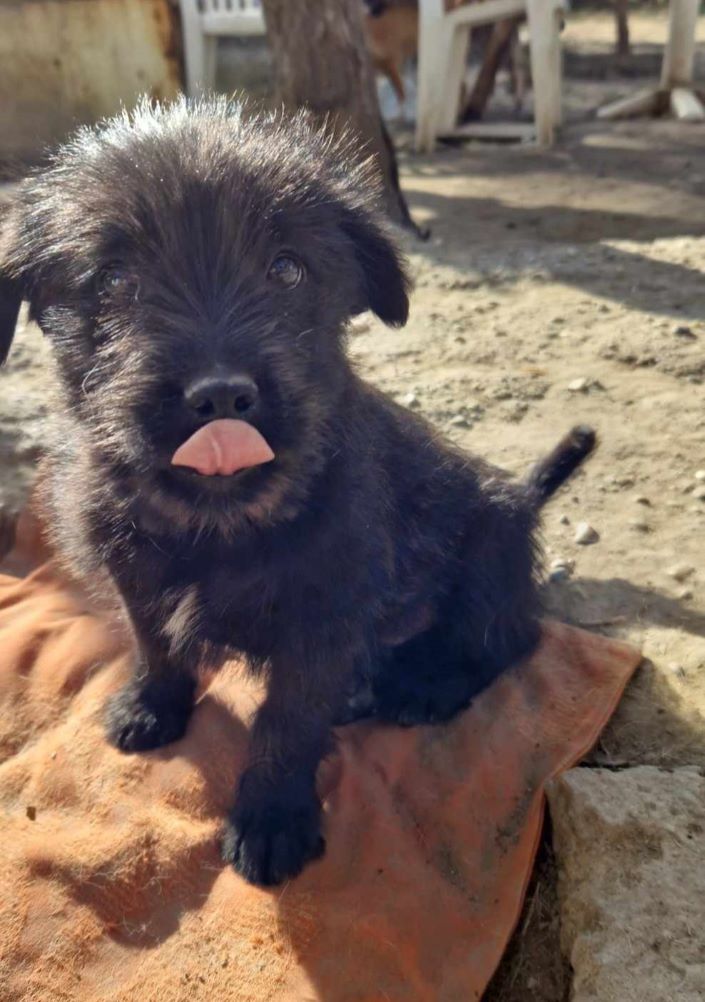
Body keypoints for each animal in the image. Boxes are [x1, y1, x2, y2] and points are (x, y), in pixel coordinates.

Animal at [0, 99, 592, 885]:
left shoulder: (324, 615)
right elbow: (155, 642)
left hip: (488, 545)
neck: (220, 527)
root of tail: (523, 499)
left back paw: (420, 684)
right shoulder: (136, 573)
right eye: (115, 279)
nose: (221, 395)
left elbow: (287, 720)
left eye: (286, 268)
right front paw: (151, 707)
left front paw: (271, 819)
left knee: (506, 635)